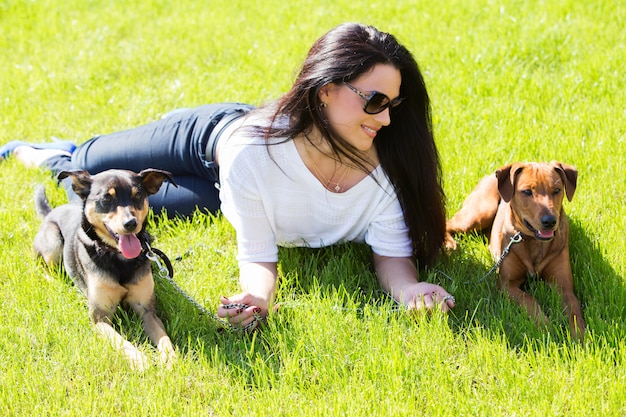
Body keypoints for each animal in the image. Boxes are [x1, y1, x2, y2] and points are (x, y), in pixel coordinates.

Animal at [34, 167, 177, 368]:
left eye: (138, 196)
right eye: (107, 199)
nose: (131, 223)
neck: (118, 257)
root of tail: (51, 212)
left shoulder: (147, 311)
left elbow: (164, 337)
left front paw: (170, 358)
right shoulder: (100, 318)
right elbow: (122, 341)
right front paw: (140, 360)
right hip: (53, 244)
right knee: (43, 267)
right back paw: (54, 282)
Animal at [444, 160, 584, 338]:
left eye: (557, 190)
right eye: (527, 192)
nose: (550, 221)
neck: (534, 242)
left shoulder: (563, 285)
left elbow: (574, 309)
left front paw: (580, 335)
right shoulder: (507, 284)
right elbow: (530, 300)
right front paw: (546, 327)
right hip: (480, 212)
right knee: (448, 223)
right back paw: (449, 244)